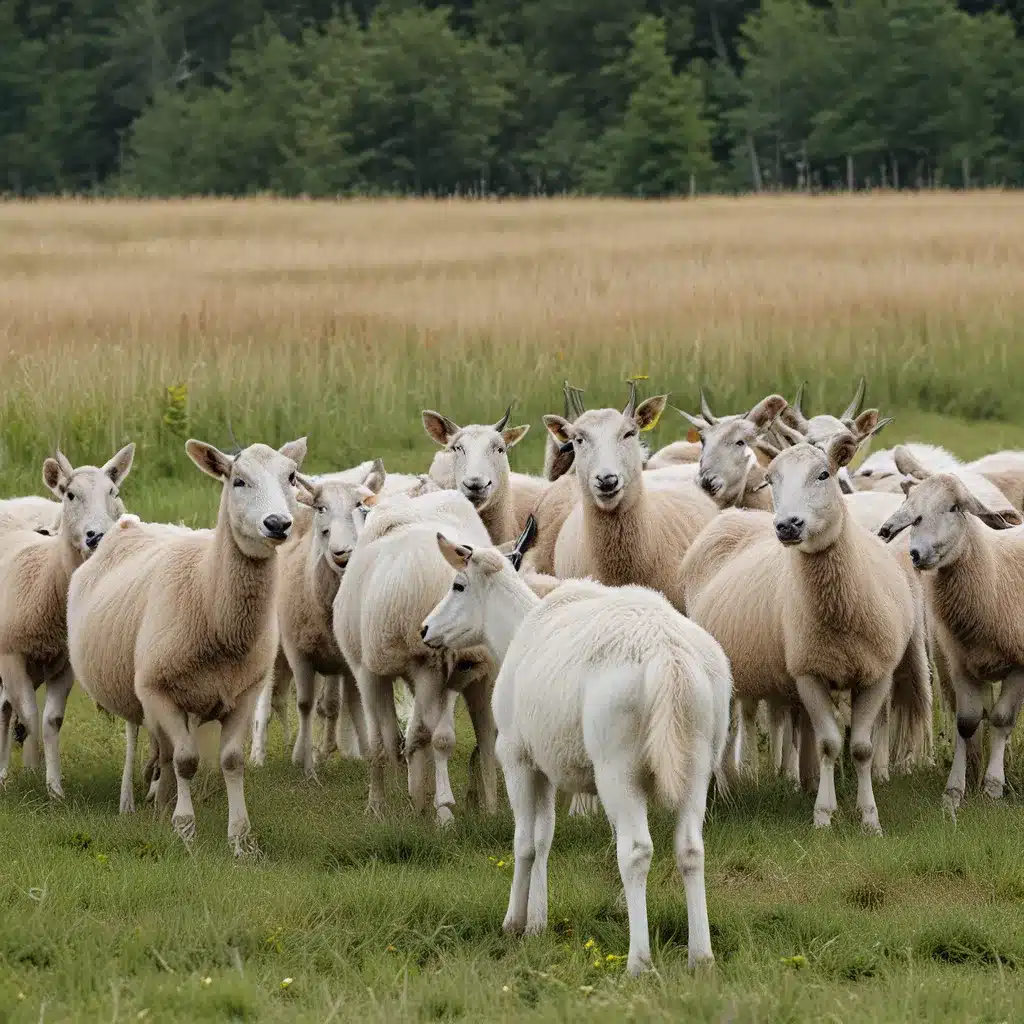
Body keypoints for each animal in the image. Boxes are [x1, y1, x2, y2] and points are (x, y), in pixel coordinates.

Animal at [0, 444, 135, 794]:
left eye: (113, 492)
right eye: (71, 494)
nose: (96, 537)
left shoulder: (64, 665)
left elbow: (50, 721)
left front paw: (54, 787)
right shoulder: (12, 657)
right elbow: (29, 714)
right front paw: (34, 771)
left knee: (5, 707)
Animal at [68, 434, 303, 847]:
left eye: (292, 477)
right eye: (237, 481)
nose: (277, 524)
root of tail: (130, 525)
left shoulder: (244, 693)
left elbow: (230, 761)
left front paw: (240, 838)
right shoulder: (159, 692)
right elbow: (185, 760)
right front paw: (185, 829)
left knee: (164, 749)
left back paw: (160, 796)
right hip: (133, 688)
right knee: (140, 740)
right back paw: (133, 800)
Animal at [333, 485, 497, 823]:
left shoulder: (370, 670)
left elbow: (387, 741)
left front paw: (382, 804)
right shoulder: (425, 673)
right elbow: (414, 735)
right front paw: (414, 796)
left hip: (433, 668)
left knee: (448, 733)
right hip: (472, 673)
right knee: (484, 736)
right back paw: (489, 807)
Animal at [419, 532, 733, 970]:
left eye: (458, 585)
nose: (424, 629)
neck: (513, 631)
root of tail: (667, 656)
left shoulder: (516, 756)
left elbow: (524, 842)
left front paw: (514, 922)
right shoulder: (547, 765)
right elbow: (545, 837)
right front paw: (538, 922)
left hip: (618, 767)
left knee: (636, 851)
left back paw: (639, 961)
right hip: (696, 762)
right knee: (689, 849)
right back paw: (700, 956)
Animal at [872, 460, 1024, 811]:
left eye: (954, 507)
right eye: (914, 514)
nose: (916, 553)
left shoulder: (1019, 667)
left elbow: (1001, 720)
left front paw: (993, 787)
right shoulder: (961, 664)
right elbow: (966, 723)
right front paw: (954, 792)